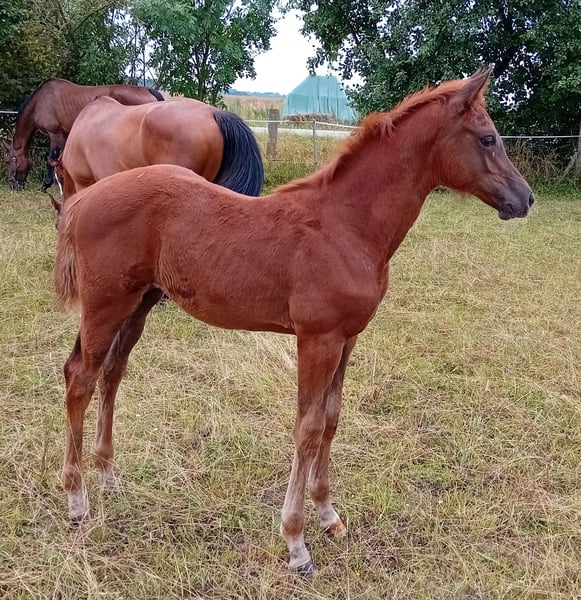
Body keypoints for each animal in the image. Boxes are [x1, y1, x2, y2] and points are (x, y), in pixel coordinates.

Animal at [3, 78, 164, 191]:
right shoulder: (65, 136)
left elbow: (50, 159)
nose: (13, 185)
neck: (41, 101)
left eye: (9, 161)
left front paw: (45, 185)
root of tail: (148, 91)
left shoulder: (55, 134)